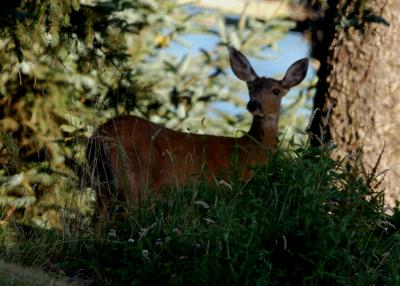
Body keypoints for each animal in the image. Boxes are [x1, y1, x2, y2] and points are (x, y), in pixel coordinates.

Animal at [86, 47, 308, 212]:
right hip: (135, 180)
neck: (252, 149)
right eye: (251, 87)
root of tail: (102, 134)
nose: (254, 104)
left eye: (276, 90)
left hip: (103, 184)